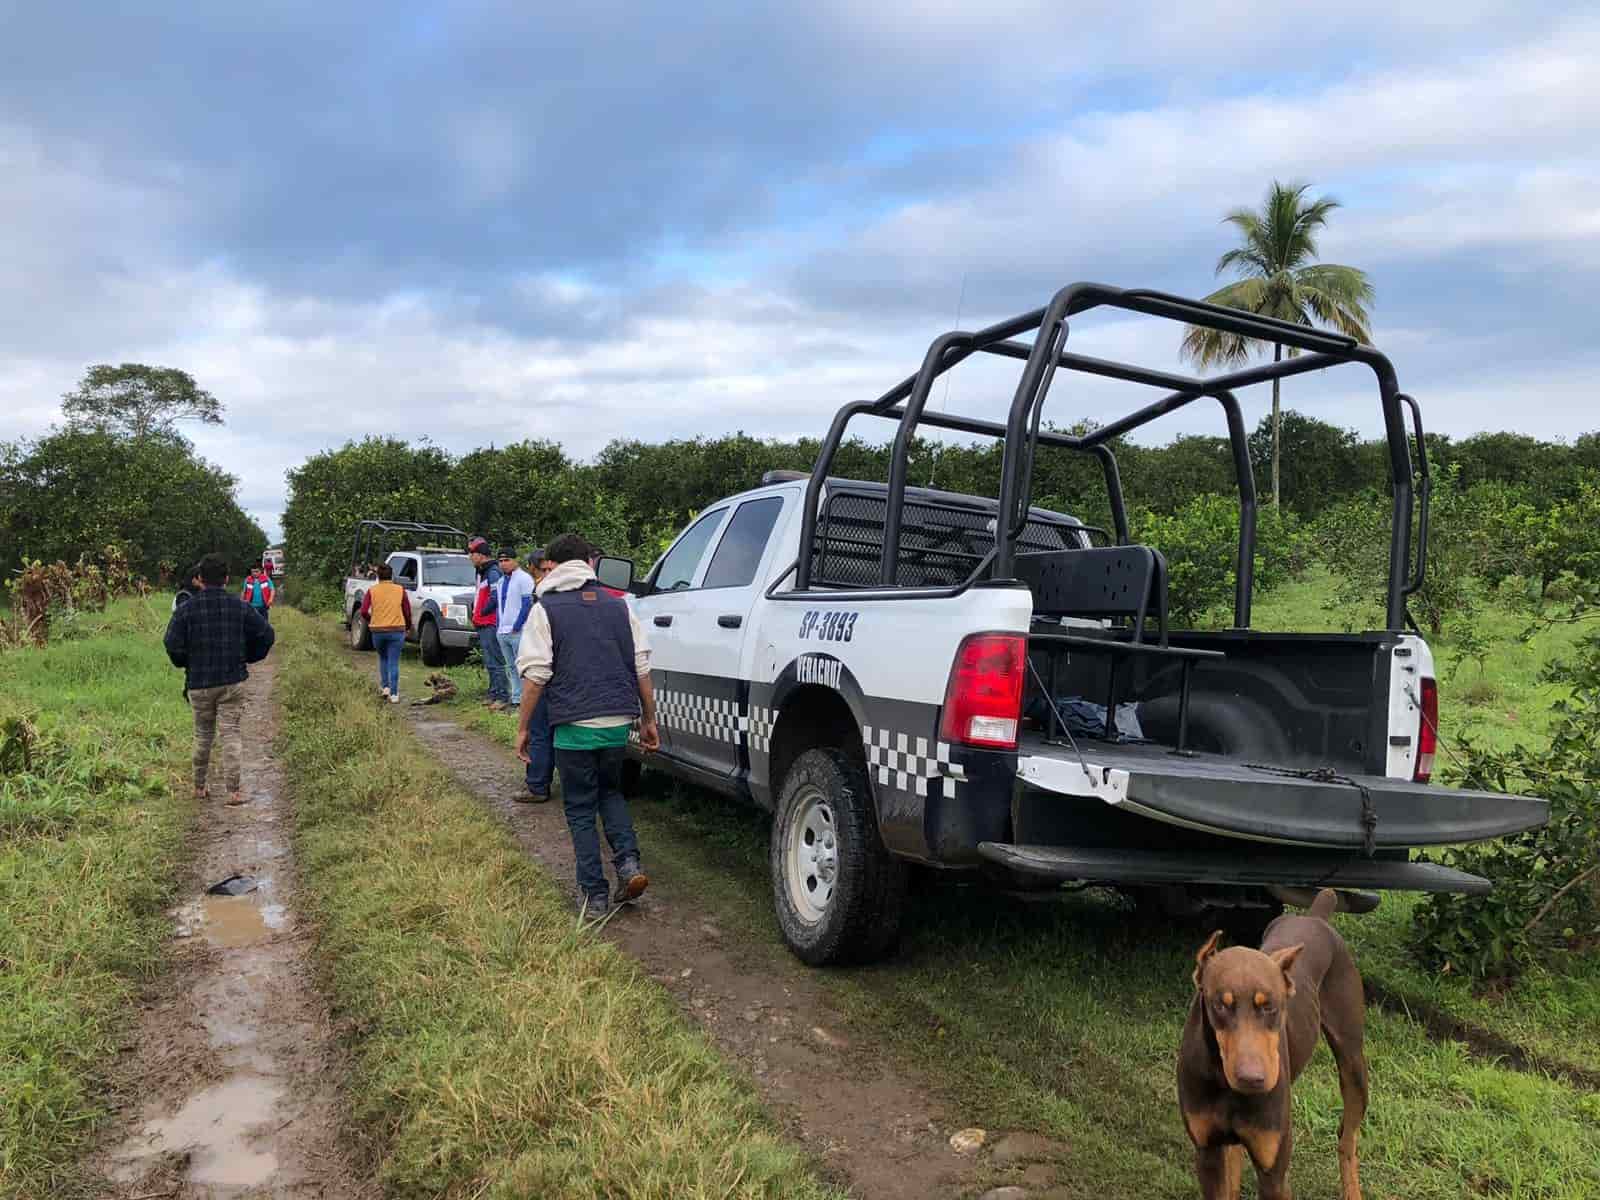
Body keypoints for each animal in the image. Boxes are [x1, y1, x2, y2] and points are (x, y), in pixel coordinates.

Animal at [1184, 889, 1369, 1196]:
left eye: (1271, 1006)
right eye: (1220, 1005)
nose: (1252, 1079)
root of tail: (1315, 916)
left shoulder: (1273, 1171)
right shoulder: (1207, 1153)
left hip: (1353, 1064)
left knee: (1347, 1137)